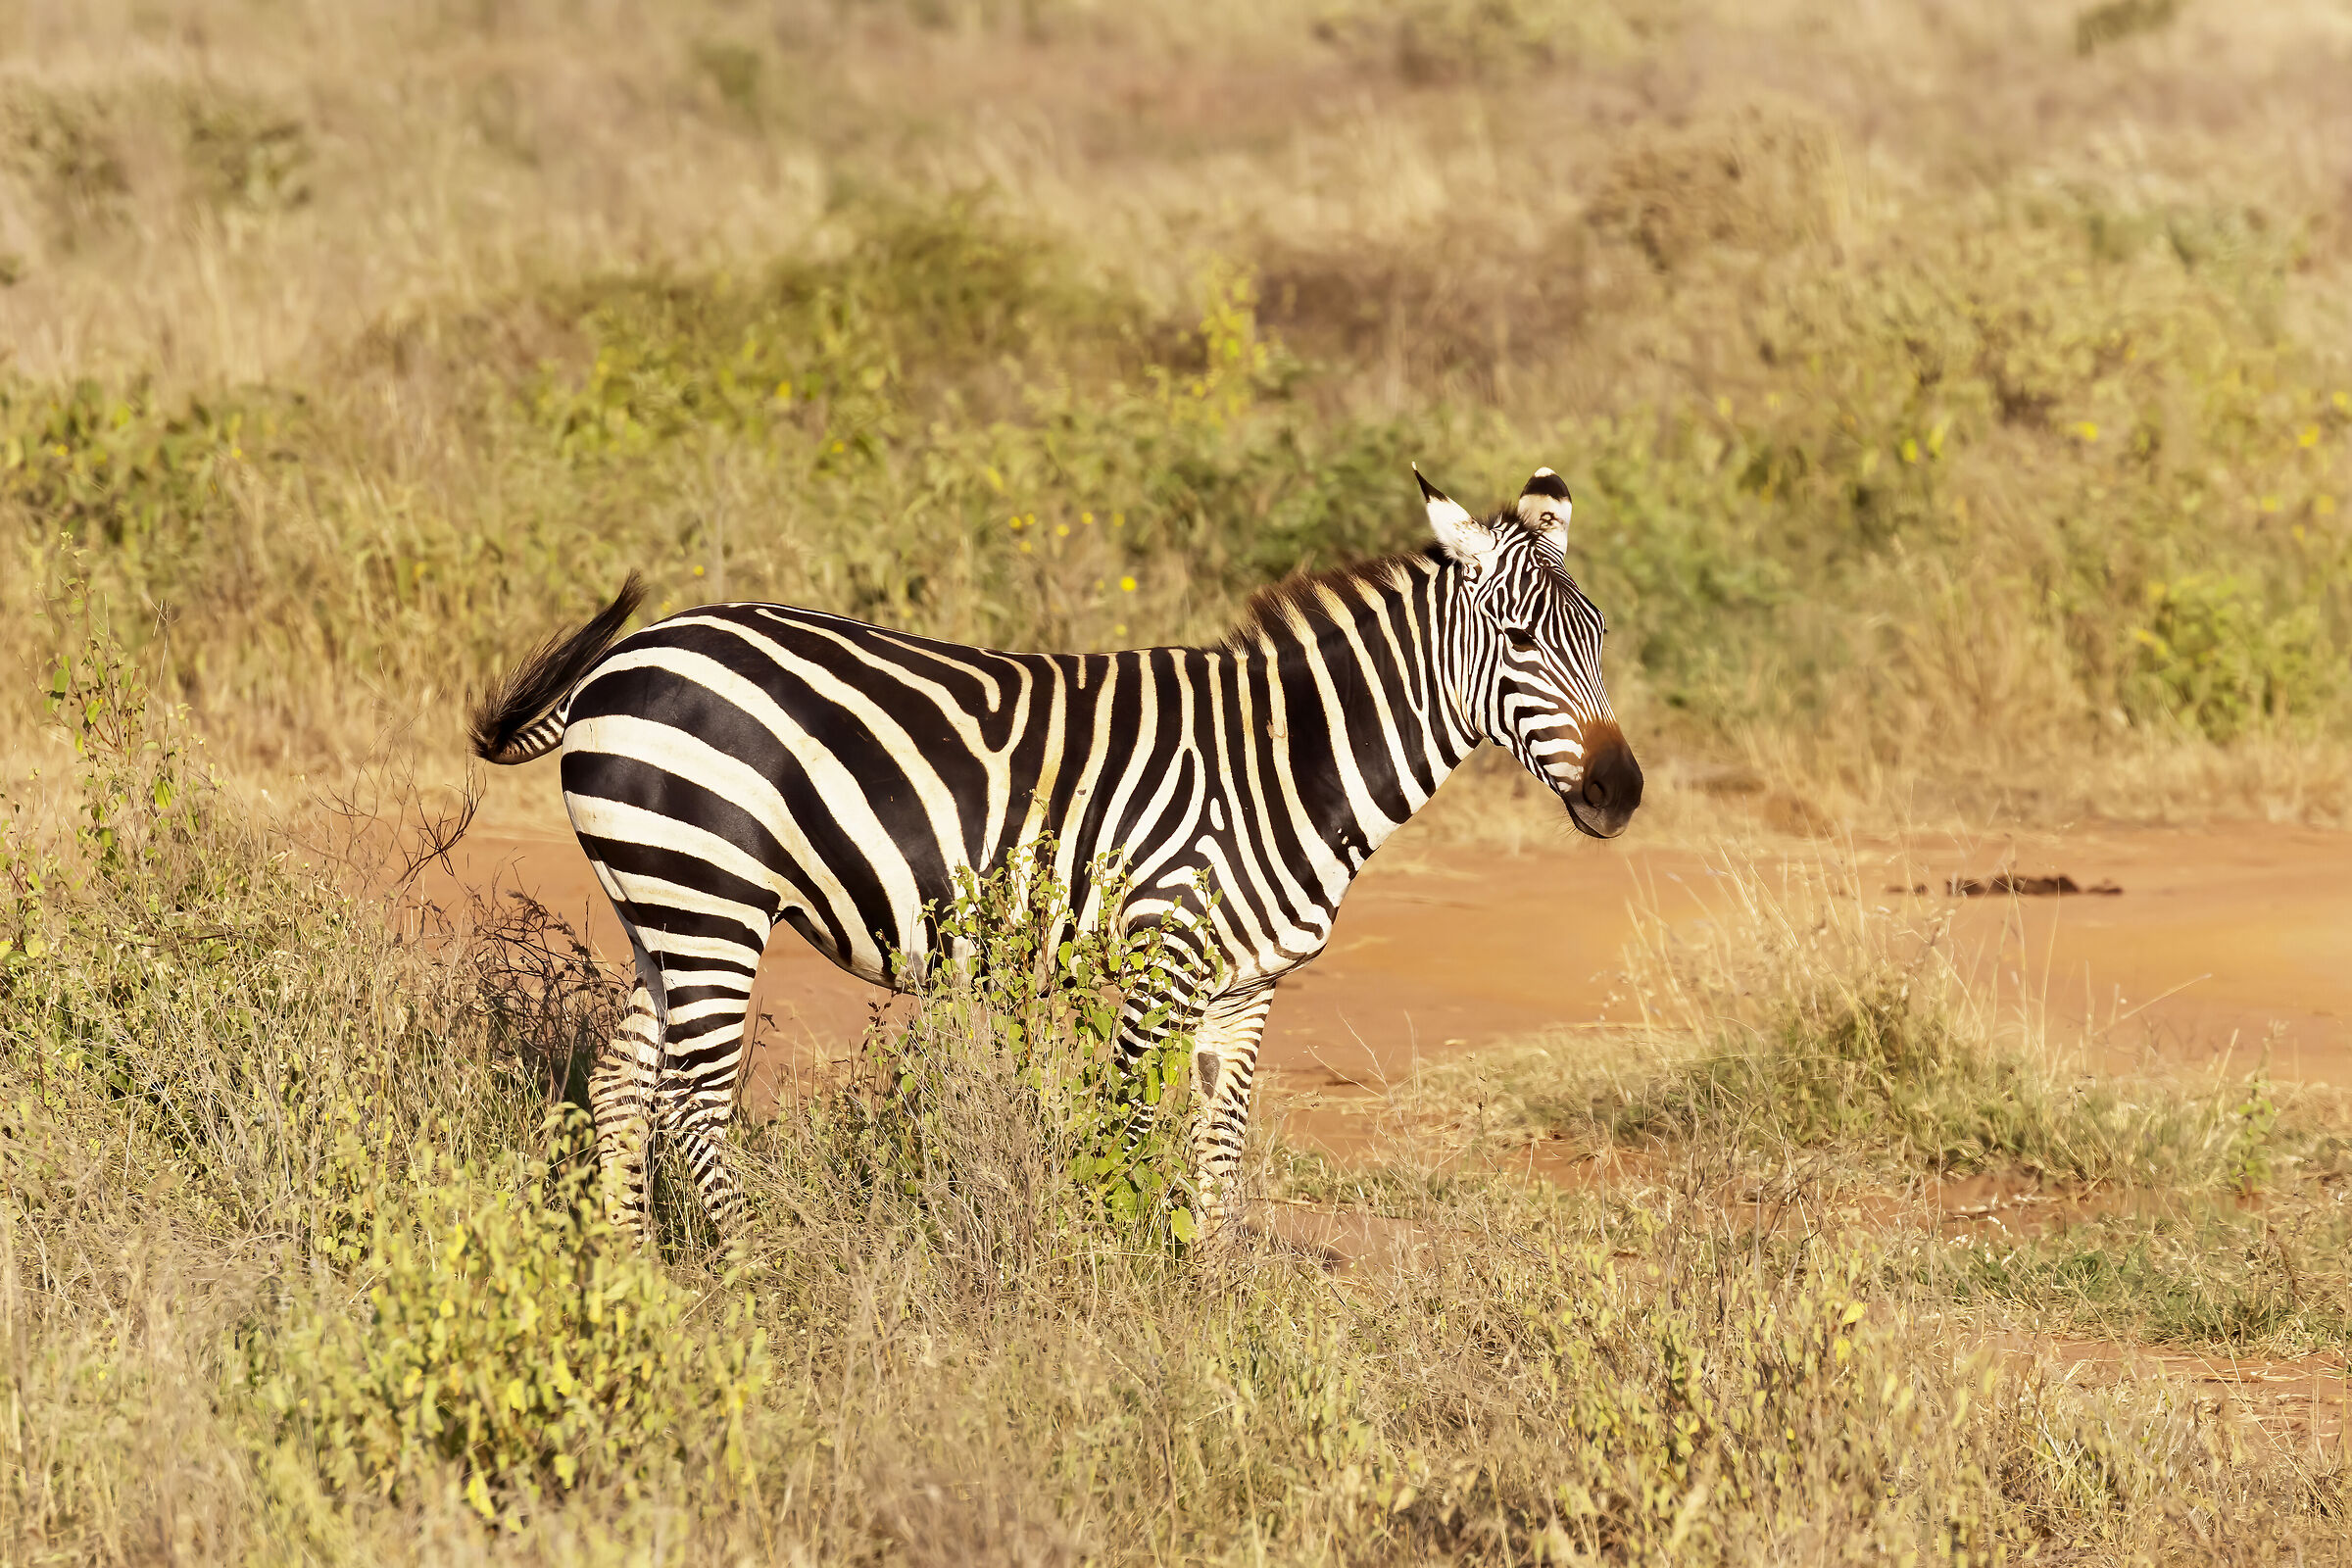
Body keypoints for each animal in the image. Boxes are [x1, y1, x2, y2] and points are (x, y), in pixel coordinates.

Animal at [468, 466, 1641, 1246]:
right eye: (1521, 643)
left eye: (1600, 642)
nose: (1622, 794)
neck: (1286, 762)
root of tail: (626, 656)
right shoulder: (1169, 959)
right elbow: (1125, 1123)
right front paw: (1106, 1281)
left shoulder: (1247, 983)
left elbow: (1220, 1143)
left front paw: (1213, 1294)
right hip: (709, 899)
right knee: (693, 1102)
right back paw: (752, 1279)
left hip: (660, 905)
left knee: (622, 1086)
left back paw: (637, 1278)